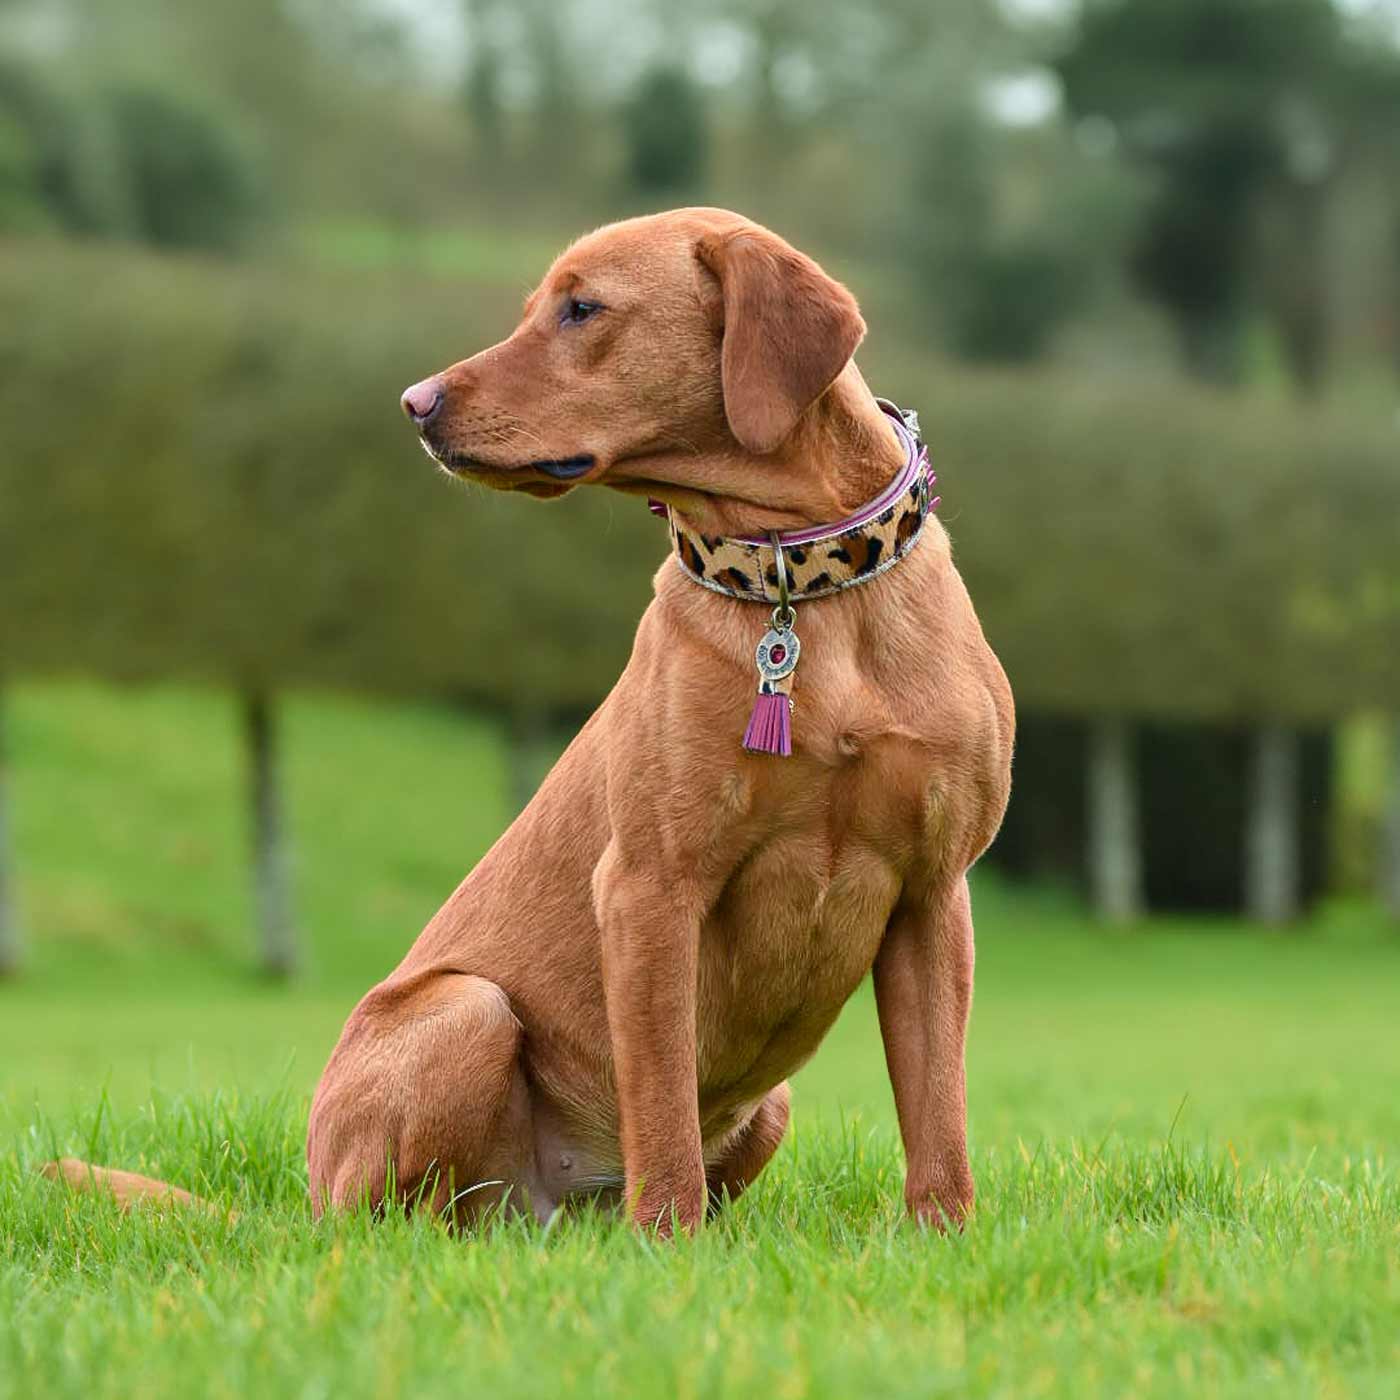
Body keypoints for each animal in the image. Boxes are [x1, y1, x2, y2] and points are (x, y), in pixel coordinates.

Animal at [52, 208, 1013, 1234]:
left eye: (581, 308)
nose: (414, 402)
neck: (797, 582)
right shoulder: (648, 886)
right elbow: (663, 1108)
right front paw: (667, 1248)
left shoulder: (931, 891)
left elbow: (938, 1114)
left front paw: (944, 1238)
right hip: (468, 1011)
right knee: (388, 1224)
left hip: (768, 1104)